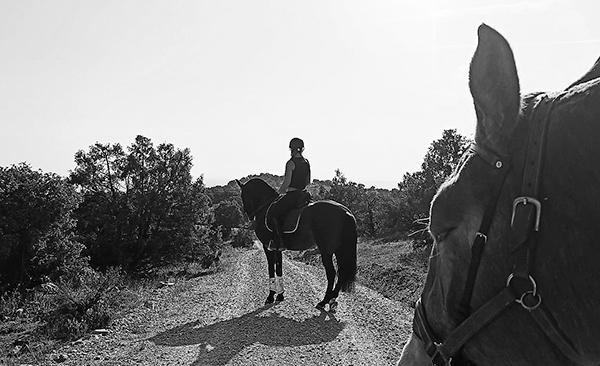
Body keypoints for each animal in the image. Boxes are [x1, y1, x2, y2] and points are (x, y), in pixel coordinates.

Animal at [236, 179, 356, 310]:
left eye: (243, 195)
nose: (249, 215)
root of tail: (345, 212)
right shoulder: (278, 249)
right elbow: (279, 269)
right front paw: (280, 295)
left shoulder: (267, 247)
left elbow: (271, 269)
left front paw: (270, 296)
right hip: (338, 250)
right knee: (341, 273)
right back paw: (332, 299)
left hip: (326, 251)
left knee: (332, 273)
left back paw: (324, 301)